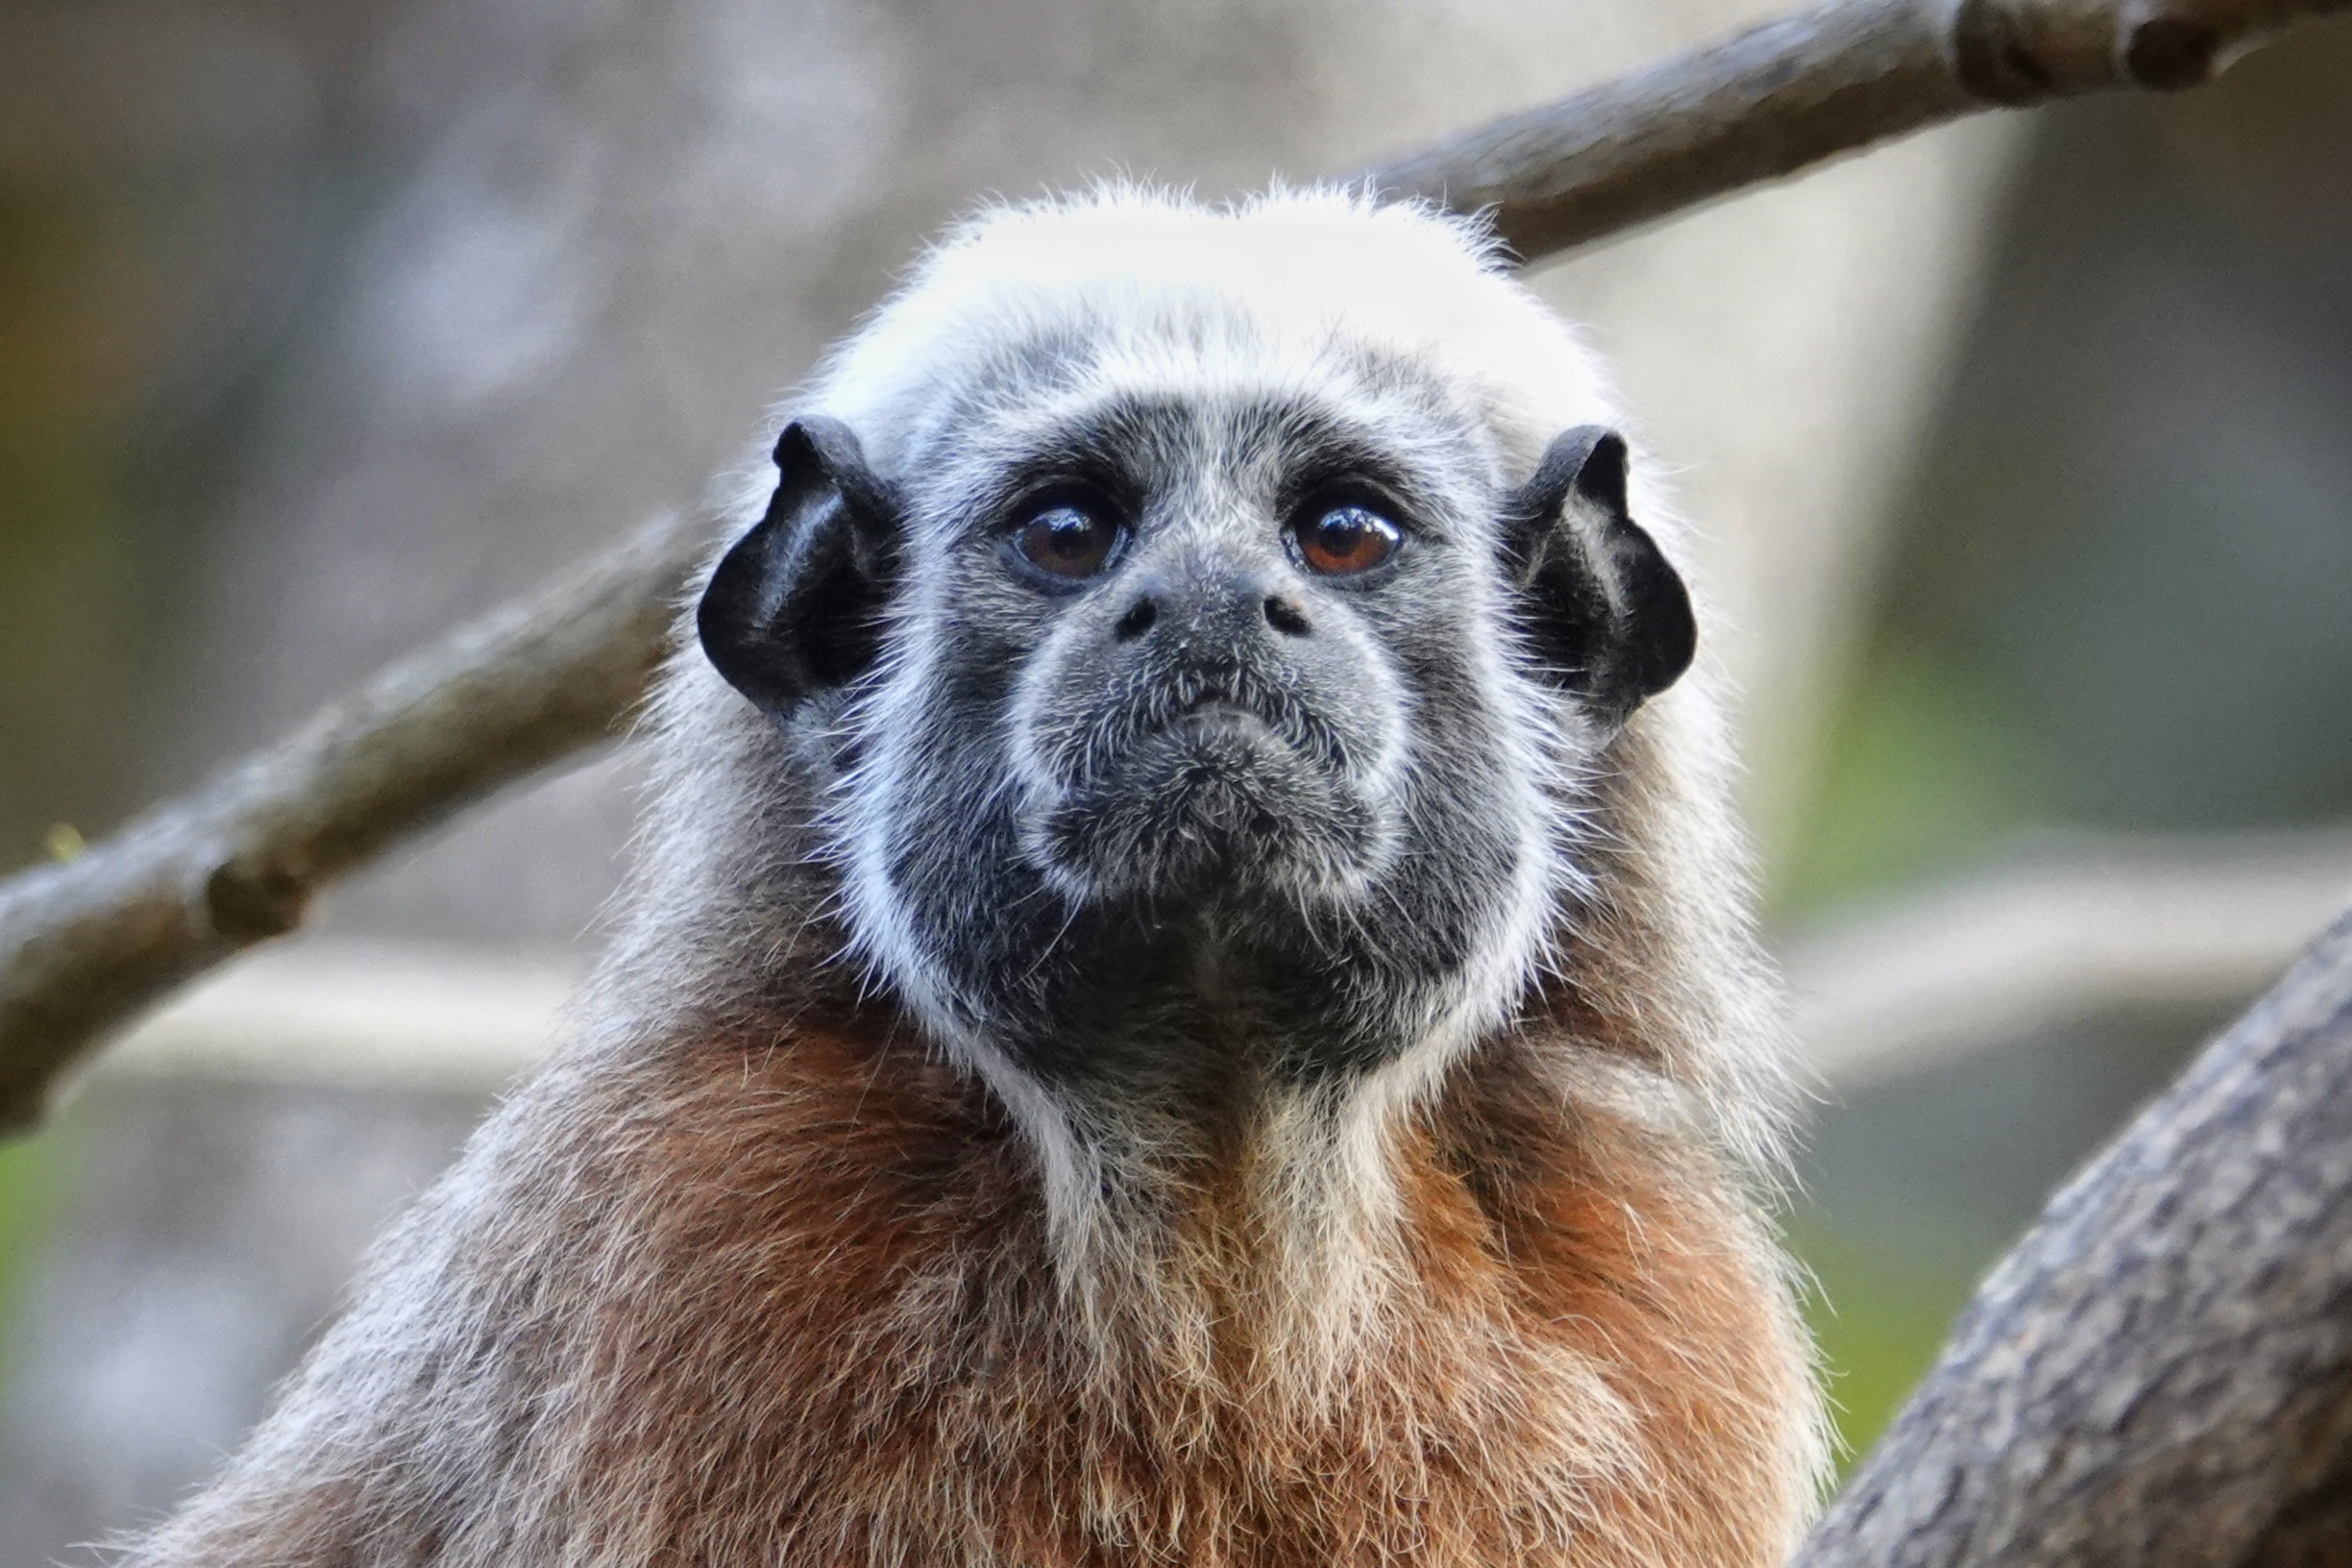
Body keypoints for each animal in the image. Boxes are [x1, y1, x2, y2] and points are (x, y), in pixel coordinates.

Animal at [123, 186, 1826, 1568]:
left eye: (1342, 533)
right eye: (1071, 532)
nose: (1208, 601)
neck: (1217, 1245)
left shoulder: (1650, 1322)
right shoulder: (687, 1242)